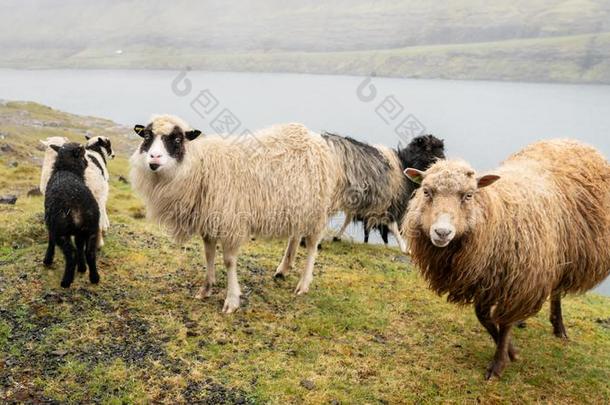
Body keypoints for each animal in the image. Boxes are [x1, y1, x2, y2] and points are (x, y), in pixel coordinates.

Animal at [42, 142, 100, 288]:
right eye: (83, 155)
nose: (87, 163)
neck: (66, 169)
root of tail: (78, 205)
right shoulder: (81, 232)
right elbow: (80, 247)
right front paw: (82, 268)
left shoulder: (51, 225)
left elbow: (50, 241)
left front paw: (47, 260)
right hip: (92, 228)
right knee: (90, 253)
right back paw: (94, 278)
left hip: (61, 230)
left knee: (71, 254)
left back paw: (66, 281)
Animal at [129, 113, 338, 312]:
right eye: (147, 136)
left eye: (178, 139)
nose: (154, 158)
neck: (201, 167)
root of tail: (311, 136)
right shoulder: (209, 221)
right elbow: (209, 254)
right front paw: (206, 289)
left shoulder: (230, 221)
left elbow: (229, 261)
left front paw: (231, 300)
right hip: (298, 207)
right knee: (295, 235)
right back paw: (283, 269)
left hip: (316, 209)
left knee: (312, 245)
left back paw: (303, 284)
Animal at [404, 139, 608, 378]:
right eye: (426, 191)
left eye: (469, 195)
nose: (442, 232)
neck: (498, 215)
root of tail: (570, 140)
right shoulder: (485, 279)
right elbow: (485, 317)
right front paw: (510, 350)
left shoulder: (518, 282)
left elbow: (505, 322)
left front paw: (500, 362)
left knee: (556, 291)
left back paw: (558, 327)